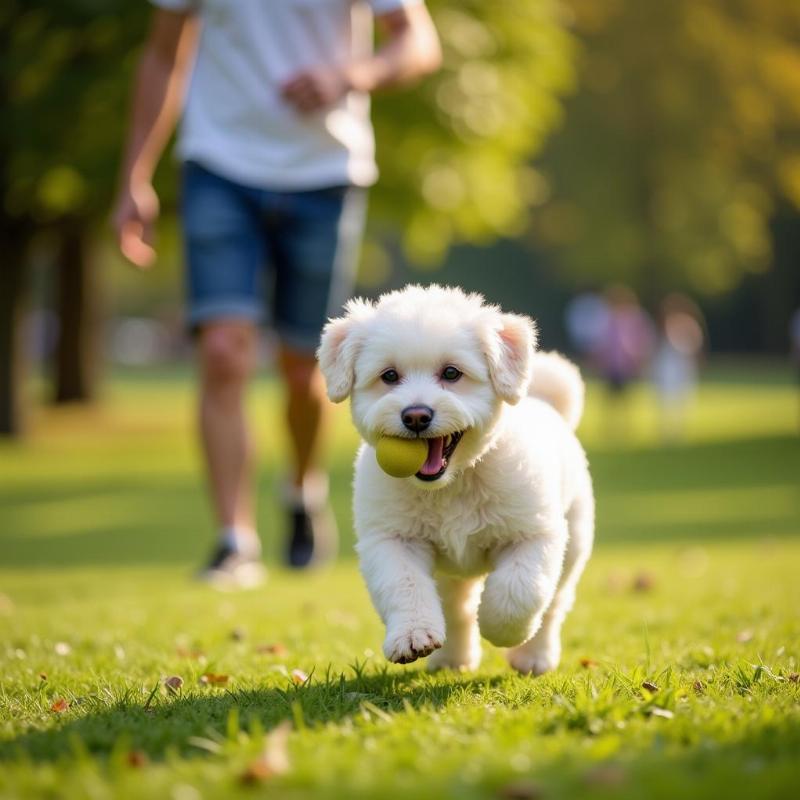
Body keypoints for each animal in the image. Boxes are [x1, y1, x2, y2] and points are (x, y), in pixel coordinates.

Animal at [316, 284, 592, 672]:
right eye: (389, 376)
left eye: (451, 373)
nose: (416, 416)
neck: (453, 484)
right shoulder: (392, 539)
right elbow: (404, 585)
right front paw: (413, 635)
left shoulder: (534, 533)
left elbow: (519, 590)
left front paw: (501, 628)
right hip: (449, 571)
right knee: (455, 607)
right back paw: (452, 657)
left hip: (575, 543)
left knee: (554, 605)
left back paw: (533, 656)